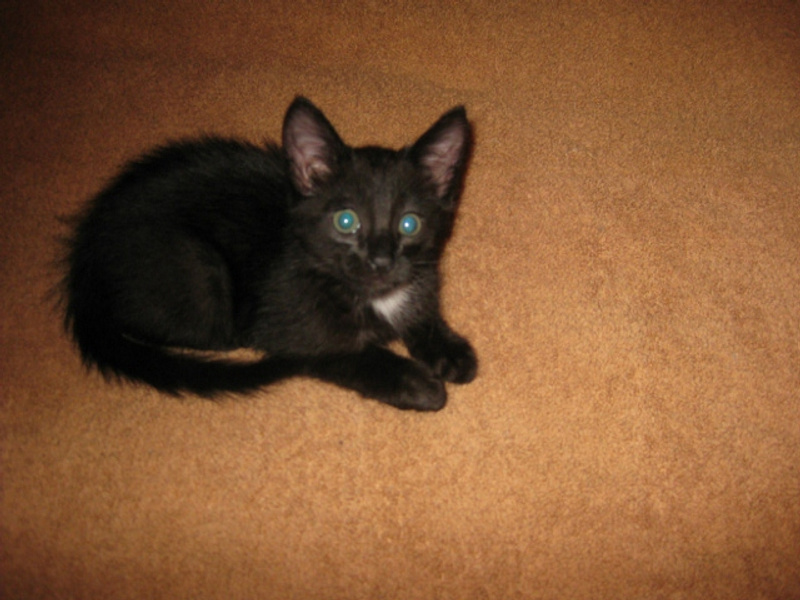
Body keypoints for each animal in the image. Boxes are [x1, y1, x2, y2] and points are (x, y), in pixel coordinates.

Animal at [62, 97, 477, 411]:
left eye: (409, 224)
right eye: (346, 221)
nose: (380, 262)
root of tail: (81, 266)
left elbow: (422, 314)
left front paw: (450, 350)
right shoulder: (280, 320)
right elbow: (340, 351)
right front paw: (415, 382)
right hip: (198, 269)